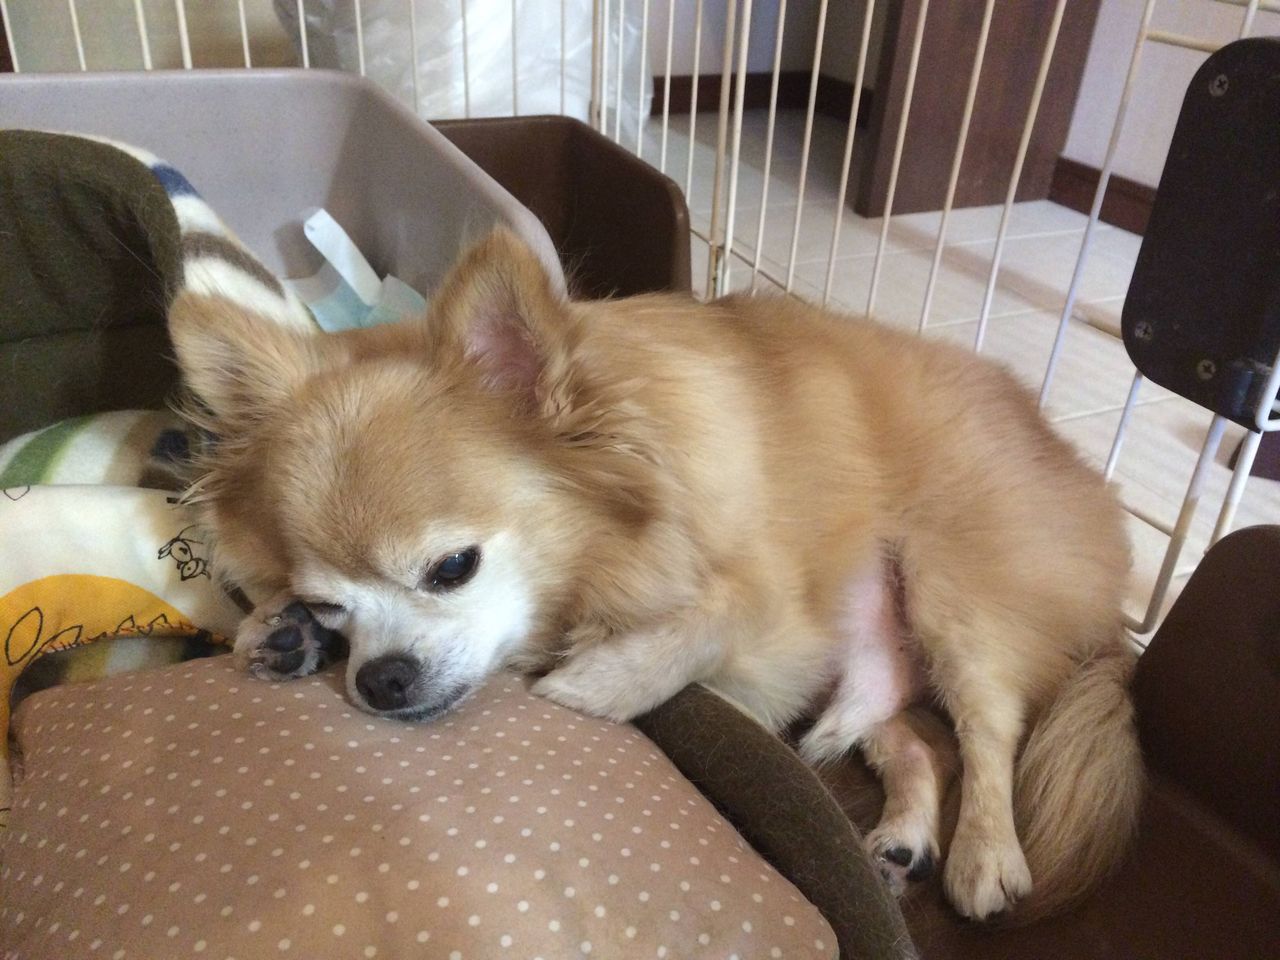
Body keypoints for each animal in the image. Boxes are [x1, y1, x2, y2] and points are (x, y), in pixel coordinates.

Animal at [170, 228, 1144, 922]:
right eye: (330, 602)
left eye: (452, 568)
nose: (380, 679)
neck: (600, 560)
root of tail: (1078, 466)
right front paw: (279, 630)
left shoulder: (774, 622)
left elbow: (703, 619)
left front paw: (598, 682)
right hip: (872, 659)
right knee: (912, 734)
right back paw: (902, 834)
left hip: (951, 590)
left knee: (989, 730)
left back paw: (987, 854)